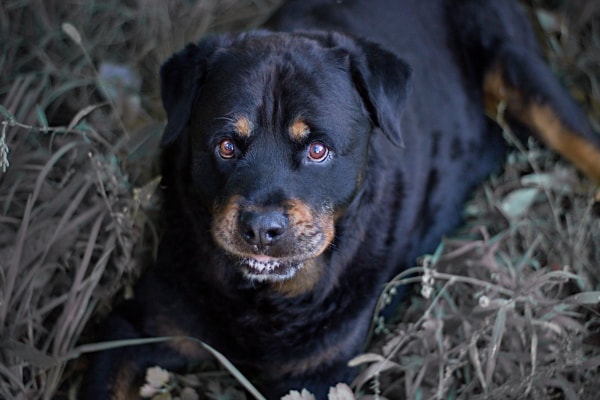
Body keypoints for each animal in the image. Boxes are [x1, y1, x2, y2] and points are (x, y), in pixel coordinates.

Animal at [85, 1, 600, 398]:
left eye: (318, 150)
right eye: (226, 146)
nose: (261, 229)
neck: (262, 303)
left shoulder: (317, 374)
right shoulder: (135, 326)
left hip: (518, 68)